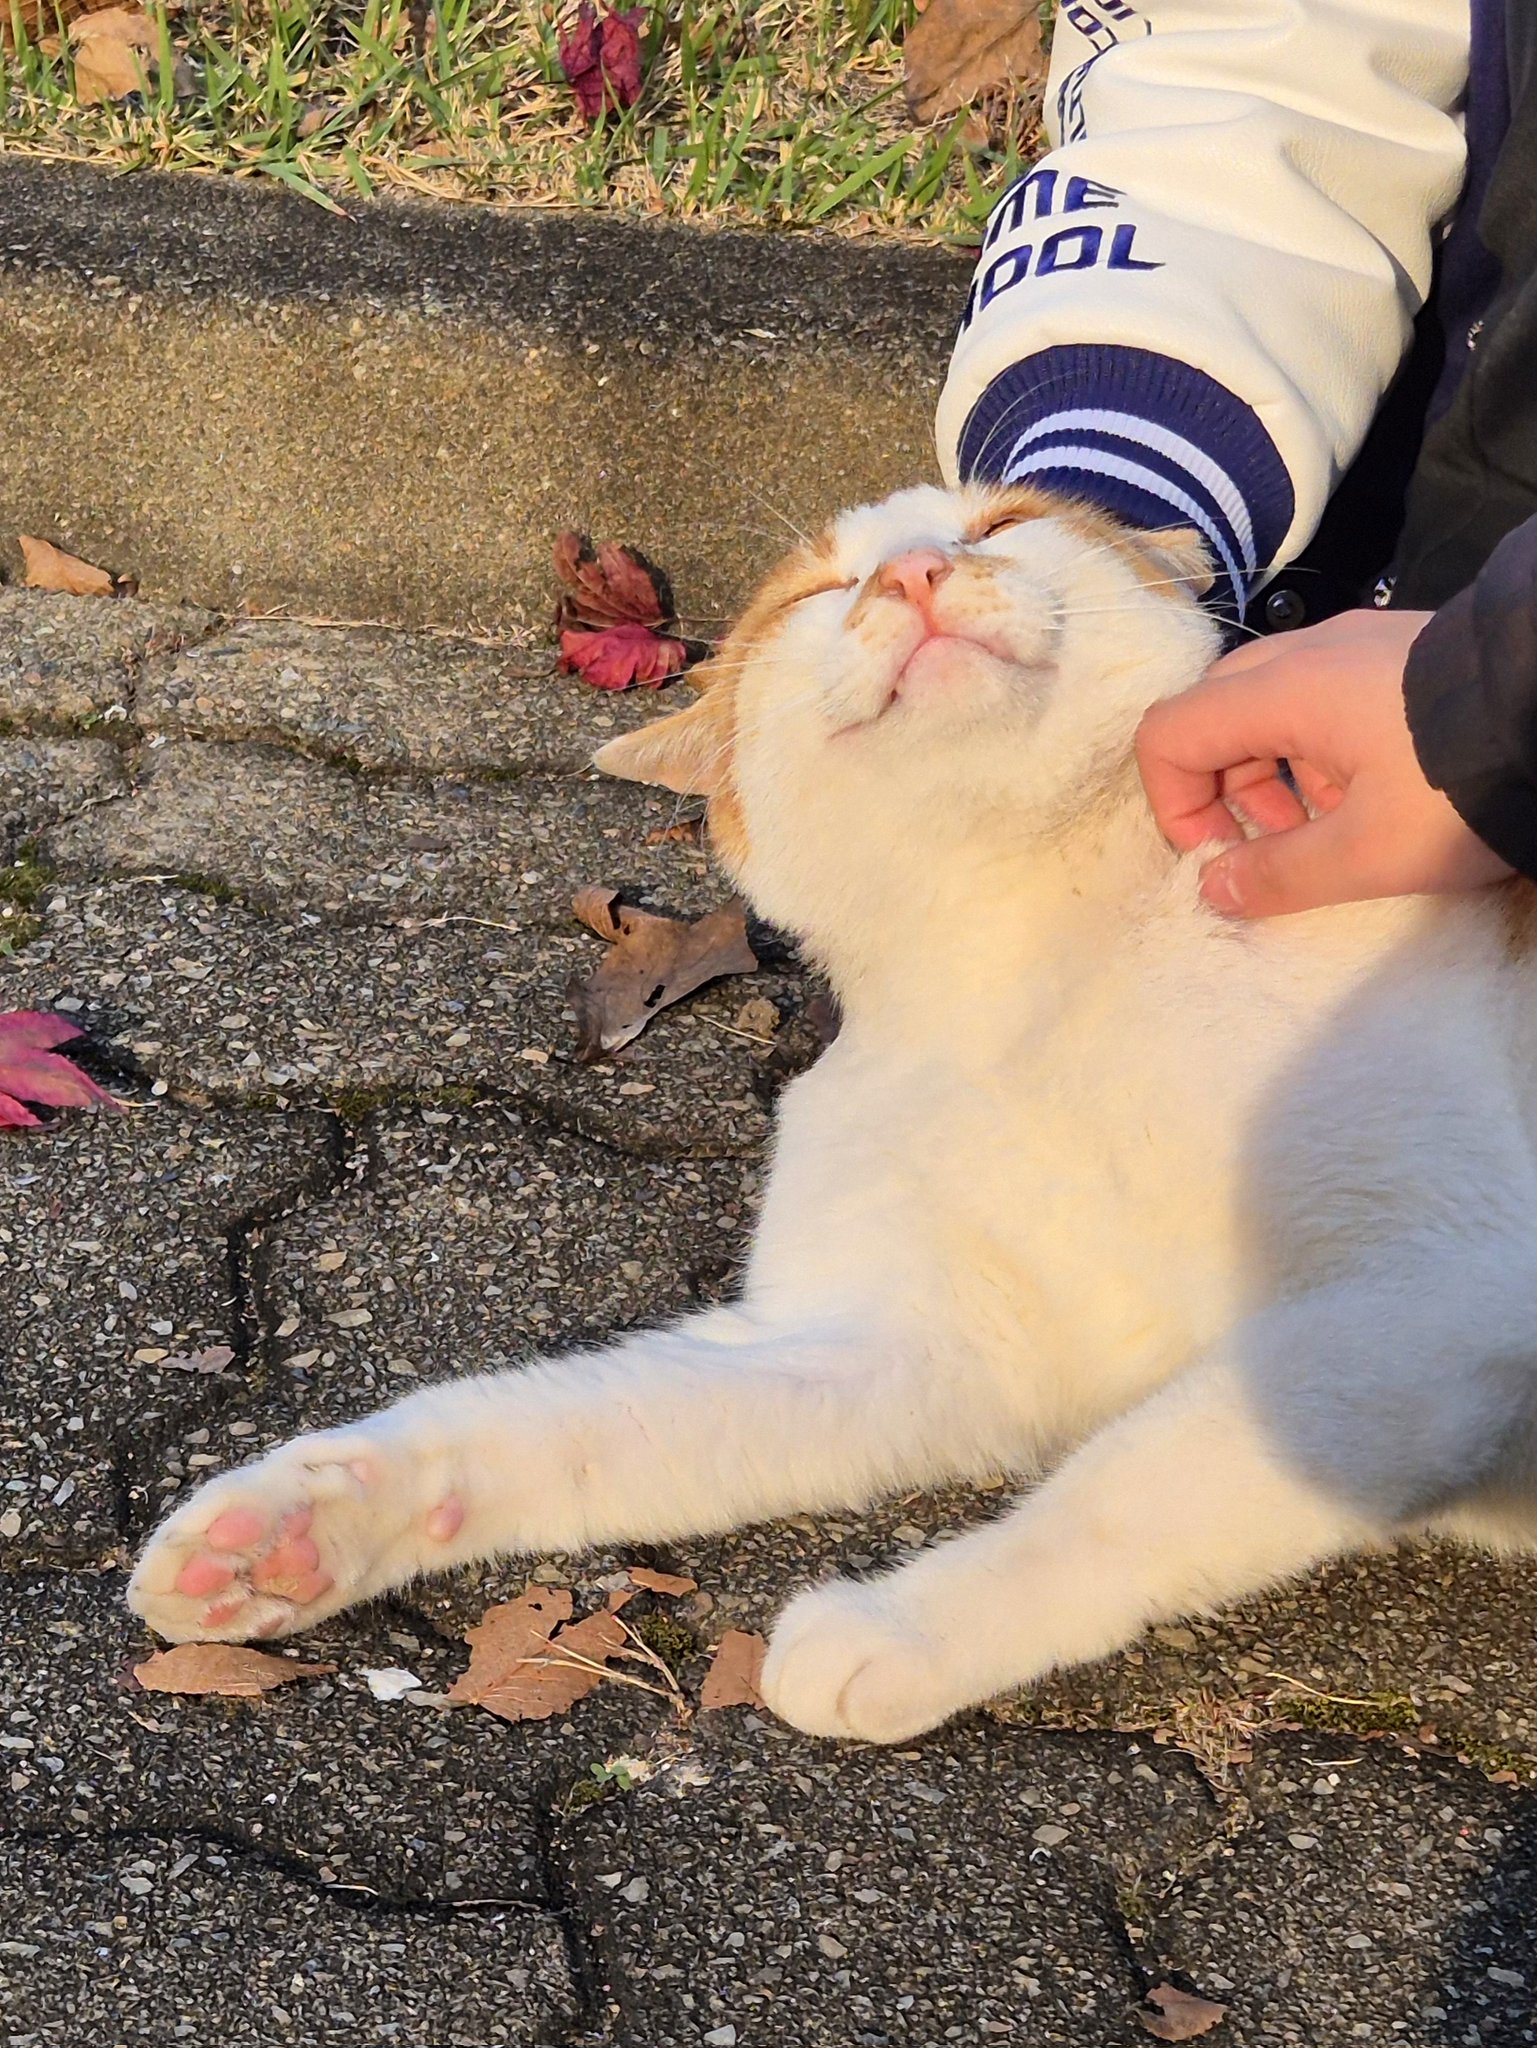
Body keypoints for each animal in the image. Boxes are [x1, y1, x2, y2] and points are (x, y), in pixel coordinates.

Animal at [126, 483, 1537, 1744]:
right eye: (819, 592)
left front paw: (906, 1626)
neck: (1020, 945)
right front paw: (306, 1523)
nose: (913, 572)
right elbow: (554, 1422)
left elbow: (1137, 1481)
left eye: (999, 522)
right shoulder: (888, 1344)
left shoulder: (1433, 1292)